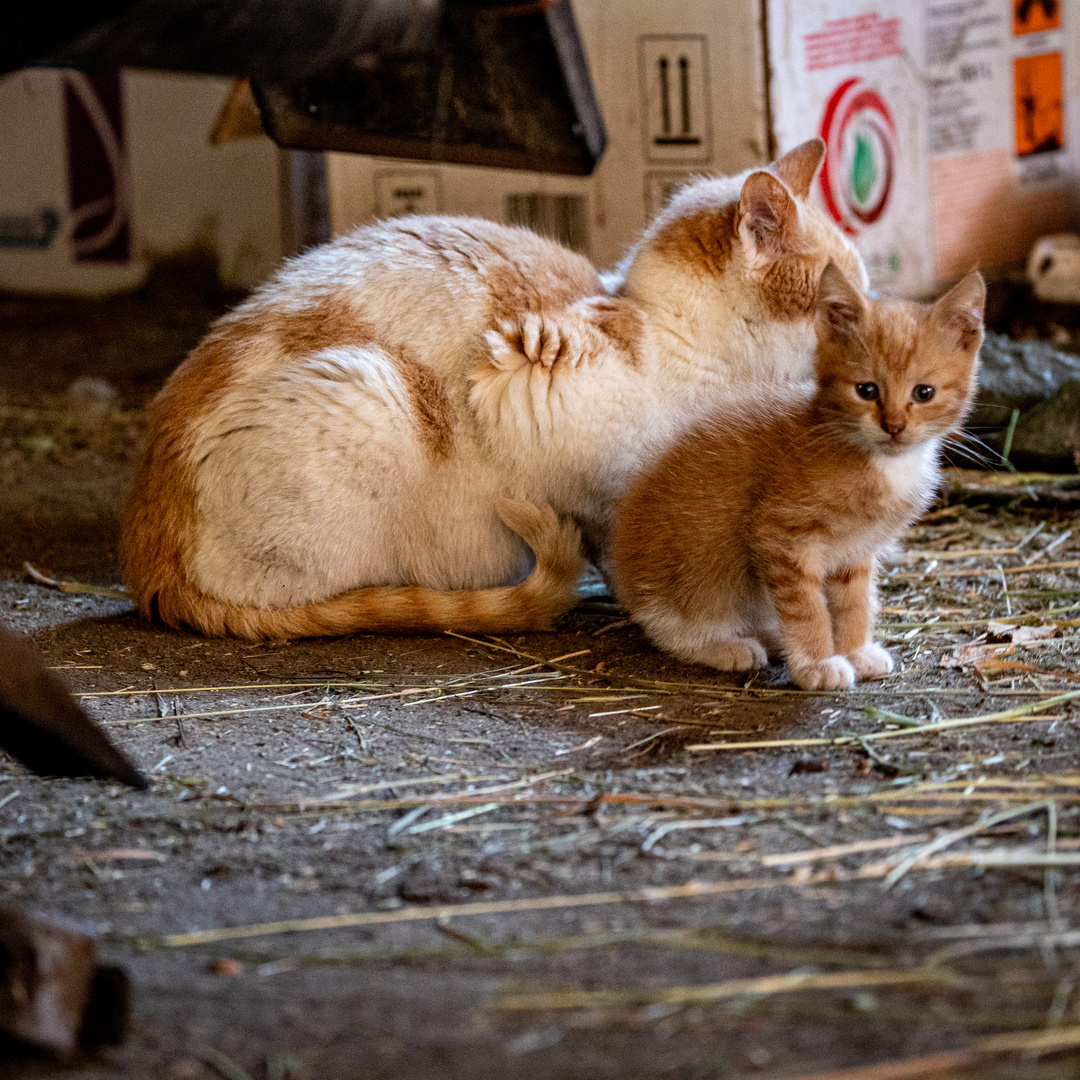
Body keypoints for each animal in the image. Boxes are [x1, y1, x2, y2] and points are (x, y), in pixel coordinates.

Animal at [124, 138, 868, 635]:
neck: (674, 333)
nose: (875, 317)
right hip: (369, 389)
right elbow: (616, 529)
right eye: (840, 302)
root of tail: (147, 556)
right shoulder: (524, 382)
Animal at [613, 259, 984, 691]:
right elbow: (807, 608)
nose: (893, 426)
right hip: (700, 562)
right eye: (866, 390)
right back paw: (727, 646)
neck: (879, 461)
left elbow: (853, 602)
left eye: (924, 393)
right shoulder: (781, 535)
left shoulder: (856, 550)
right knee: (671, 623)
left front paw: (855, 650)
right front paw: (817, 665)